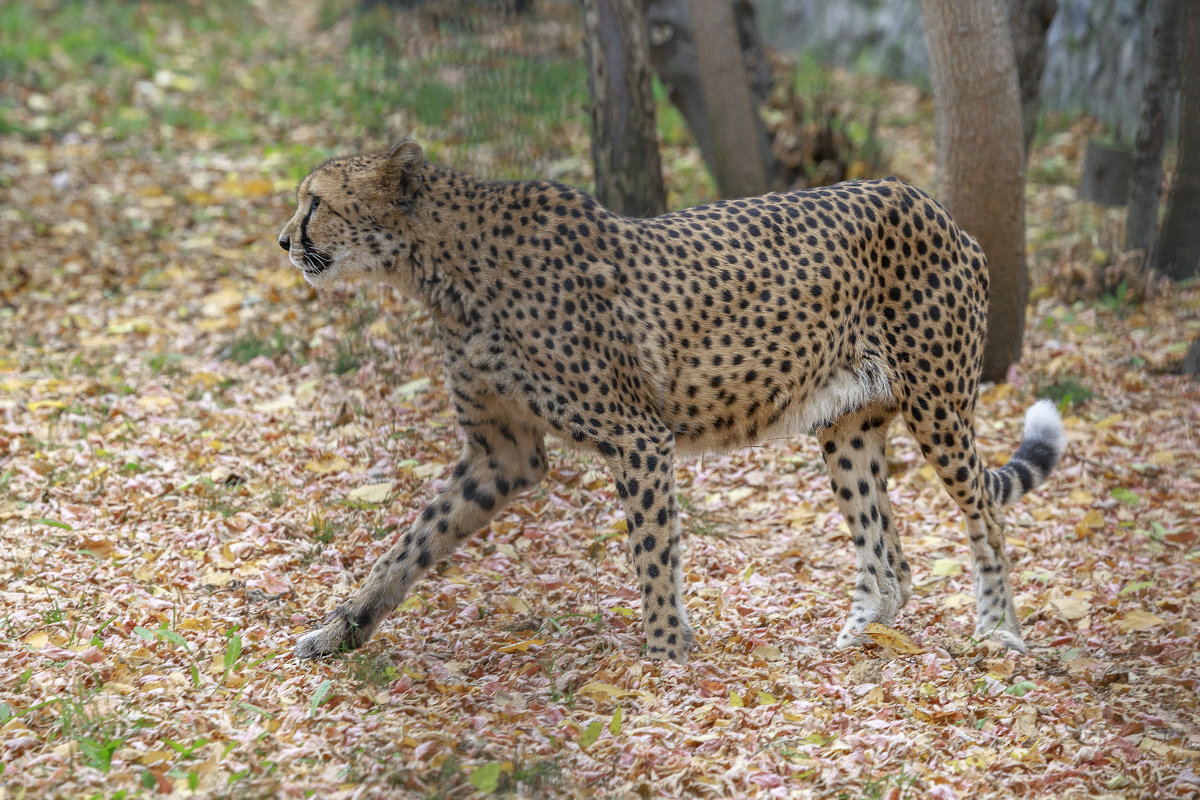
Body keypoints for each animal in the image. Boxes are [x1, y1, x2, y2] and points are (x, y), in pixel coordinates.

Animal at [276, 142, 1065, 662]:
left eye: (316, 202)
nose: (284, 240)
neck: (438, 269)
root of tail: (932, 203)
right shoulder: (502, 453)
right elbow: (413, 542)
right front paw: (340, 628)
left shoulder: (637, 436)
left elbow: (652, 552)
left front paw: (663, 656)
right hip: (847, 424)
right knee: (889, 557)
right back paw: (847, 643)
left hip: (936, 404)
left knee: (986, 515)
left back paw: (1000, 631)